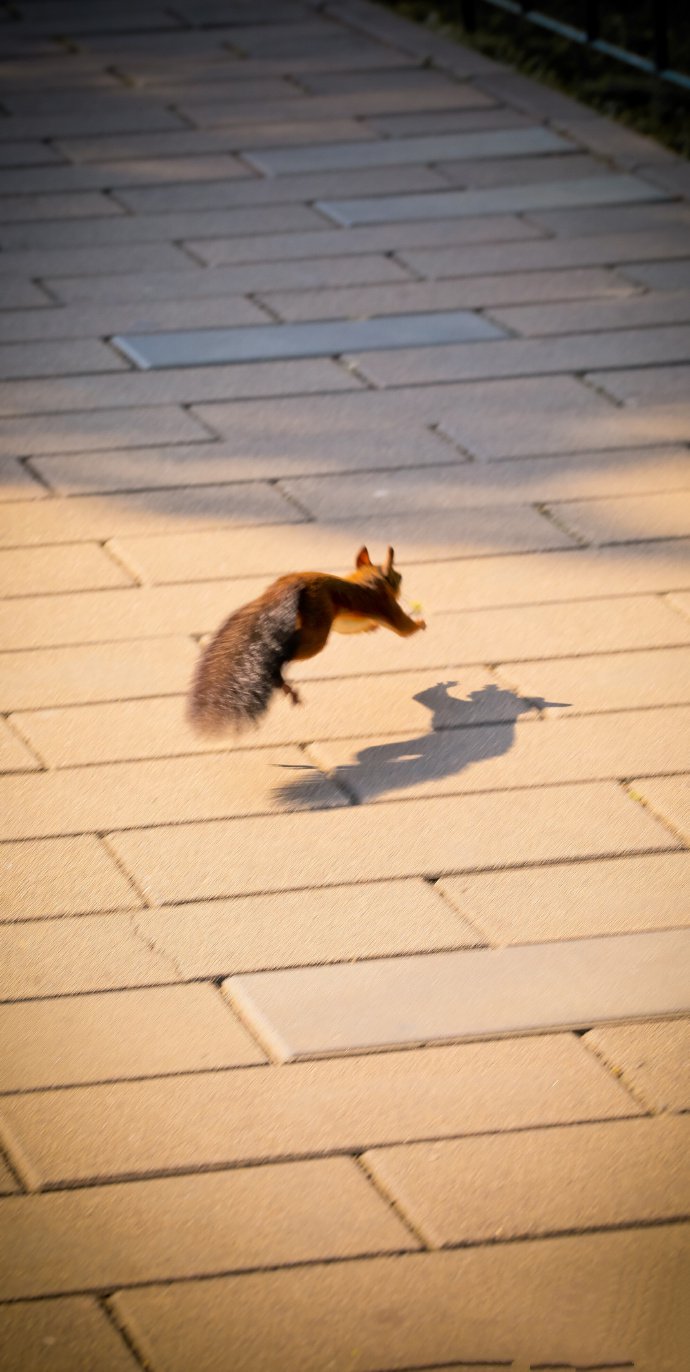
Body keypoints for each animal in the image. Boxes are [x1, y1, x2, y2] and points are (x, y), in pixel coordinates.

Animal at [189, 546, 427, 740]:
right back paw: (279, 679)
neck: (366, 578)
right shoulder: (386, 607)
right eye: (398, 576)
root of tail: (284, 589)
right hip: (316, 632)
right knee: (284, 653)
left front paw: (372, 628)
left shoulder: (345, 622)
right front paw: (421, 623)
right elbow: (405, 628)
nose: (400, 583)